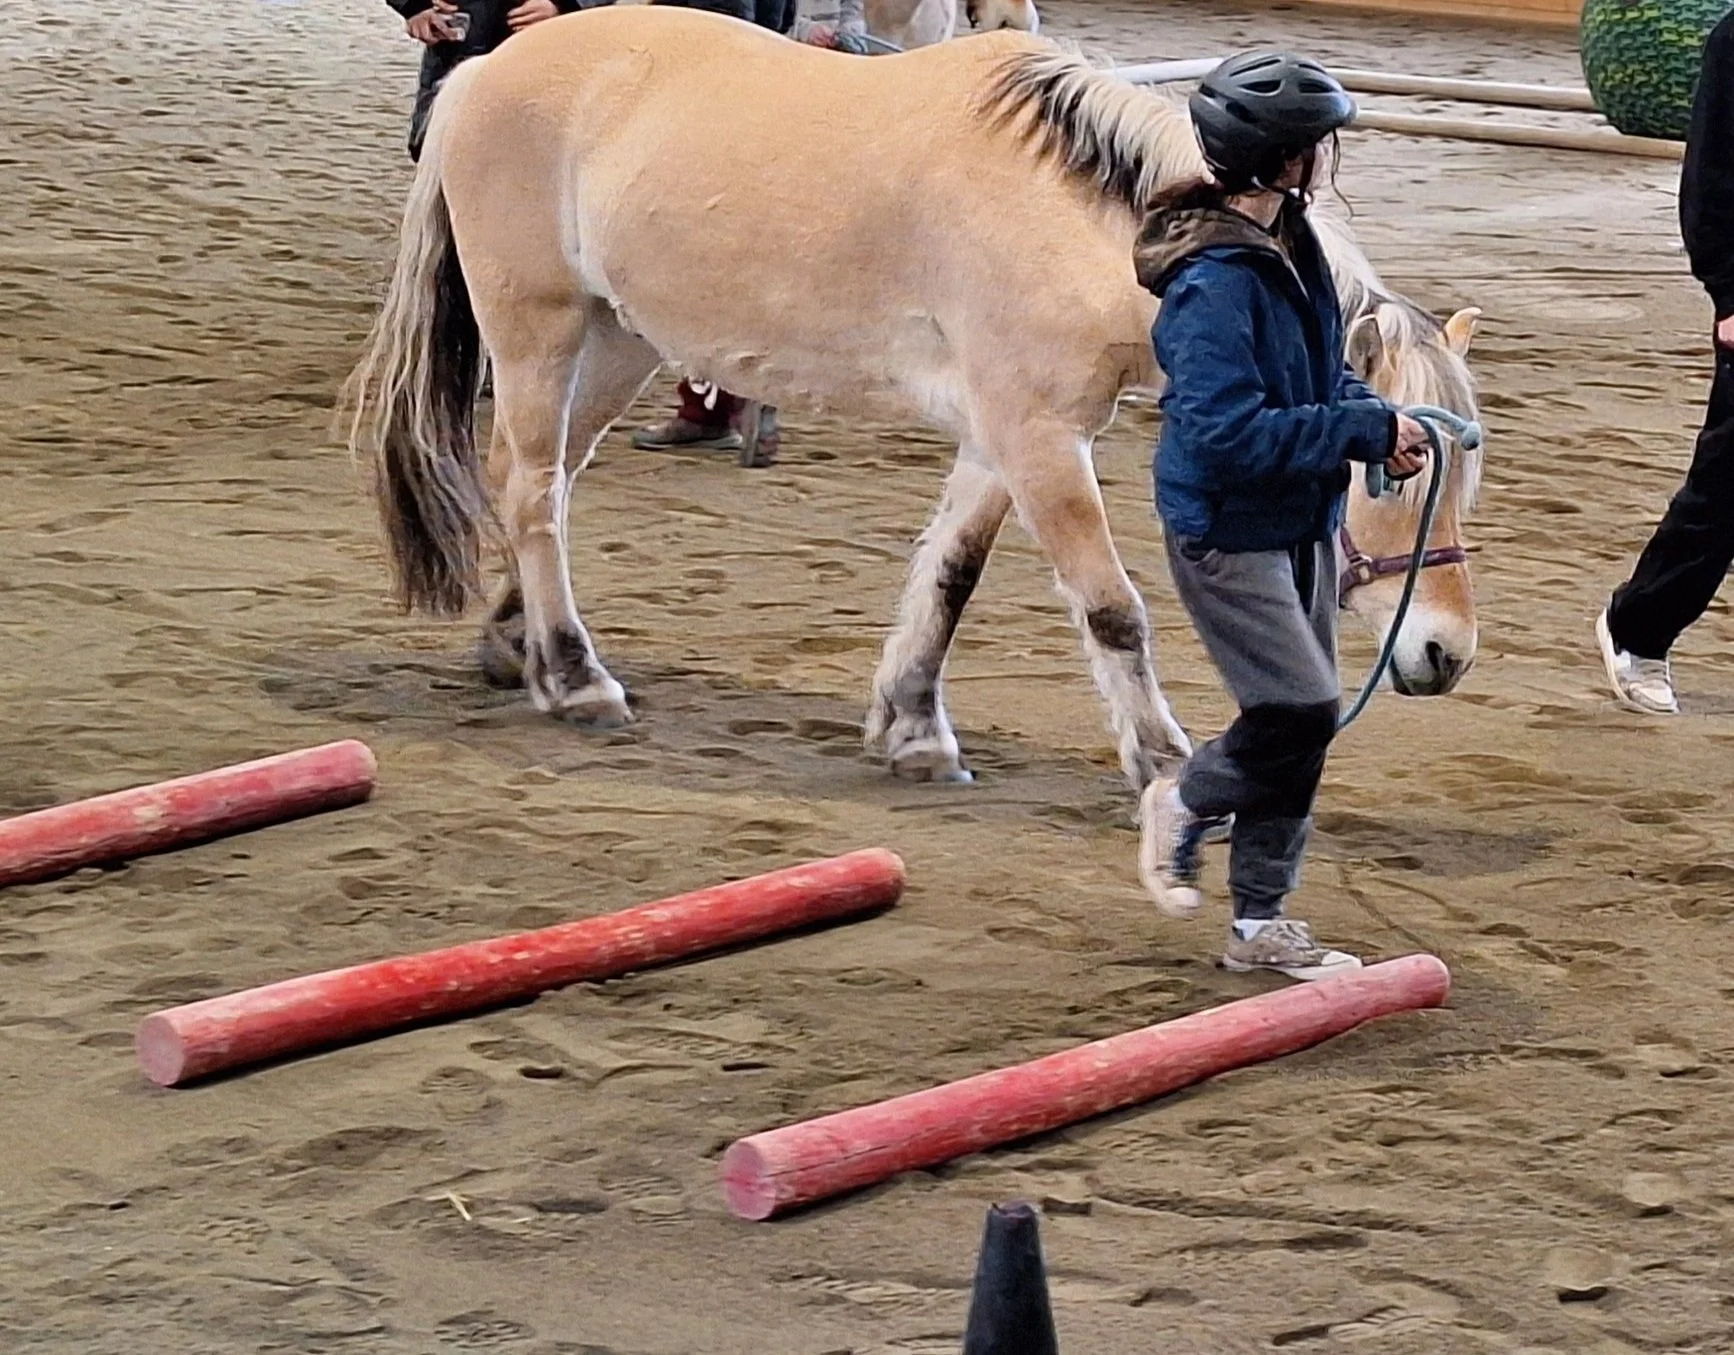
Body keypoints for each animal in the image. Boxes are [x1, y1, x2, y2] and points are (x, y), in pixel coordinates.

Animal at [342, 10, 1482, 871]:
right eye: (1388, 469)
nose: (1445, 652)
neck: (1098, 226)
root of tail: (487, 67)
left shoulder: (1004, 436)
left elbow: (949, 576)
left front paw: (912, 729)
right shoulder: (1038, 437)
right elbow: (1113, 612)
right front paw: (1167, 769)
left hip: (619, 339)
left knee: (538, 479)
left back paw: (519, 646)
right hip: (538, 328)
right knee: (533, 489)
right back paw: (578, 678)